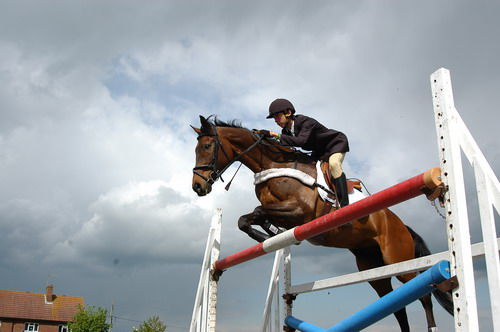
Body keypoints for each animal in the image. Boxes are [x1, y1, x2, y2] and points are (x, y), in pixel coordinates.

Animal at [189, 115, 452, 332]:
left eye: (207, 146)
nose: (197, 187)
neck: (273, 165)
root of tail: (401, 225)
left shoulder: (301, 212)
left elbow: (257, 212)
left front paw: (266, 235)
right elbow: (247, 218)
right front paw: (269, 234)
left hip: (398, 259)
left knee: (423, 295)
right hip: (373, 268)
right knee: (394, 304)